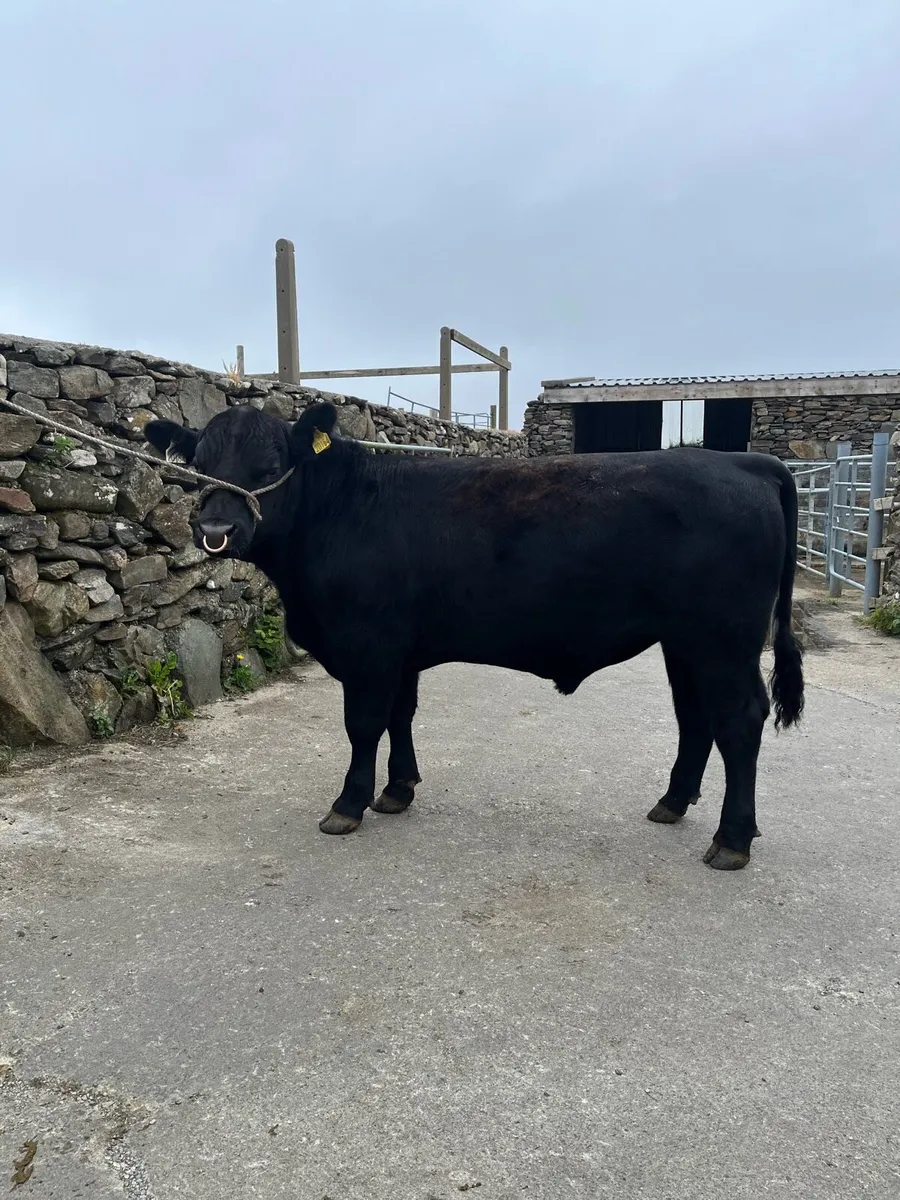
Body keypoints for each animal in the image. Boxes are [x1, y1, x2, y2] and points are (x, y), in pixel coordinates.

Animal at [145, 401, 804, 871]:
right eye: (198, 464)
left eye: (269, 465)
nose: (216, 530)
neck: (341, 510)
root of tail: (744, 462)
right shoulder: (400, 650)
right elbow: (401, 716)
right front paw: (398, 789)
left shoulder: (367, 646)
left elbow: (363, 725)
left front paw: (349, 804)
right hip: (685, 642)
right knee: (694, 716)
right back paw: (672, 803)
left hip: (723, 640)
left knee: (739, 720)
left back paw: (732, 839)